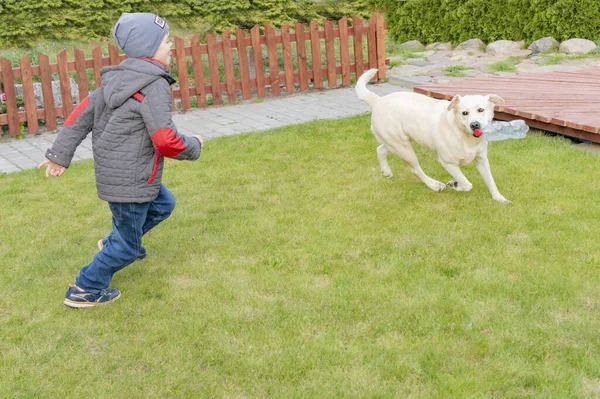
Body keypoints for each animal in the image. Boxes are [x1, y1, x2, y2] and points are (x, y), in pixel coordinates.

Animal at [356, 68, 510, 203]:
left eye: (481, 110)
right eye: (464, 113)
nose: (474, 124)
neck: (465, 137)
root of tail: (377, 100)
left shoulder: (481, 159)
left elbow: (490, 180)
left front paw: (499, 198)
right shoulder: (448, 163)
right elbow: (467, 184)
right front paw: (455, 185)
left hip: (396, 142)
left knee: (380, 150)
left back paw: (386, 171)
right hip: (404, 148)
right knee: (415, 170)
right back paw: (435, 185)